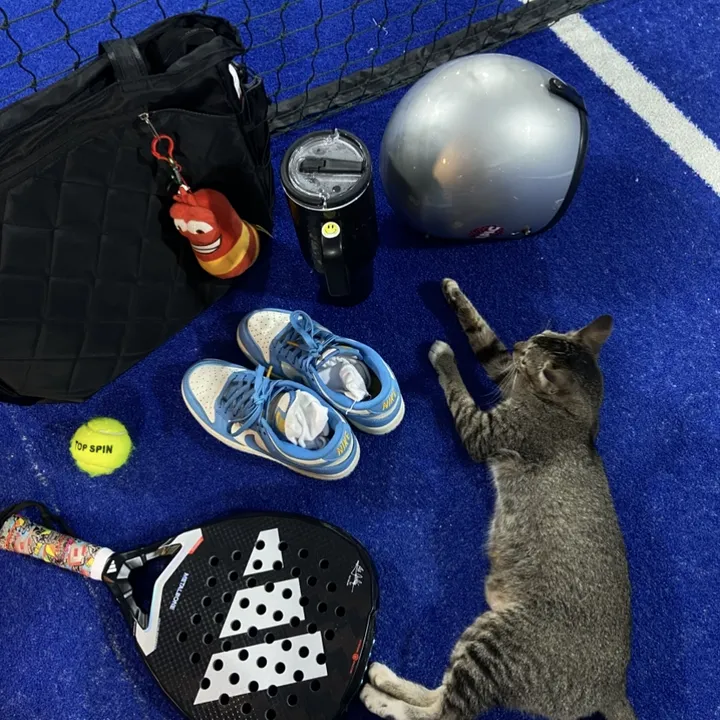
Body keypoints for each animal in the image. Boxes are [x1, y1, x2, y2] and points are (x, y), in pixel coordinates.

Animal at [360, 278, 635, 720]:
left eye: (528, 354)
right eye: (534, 339)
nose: (521, 343)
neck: (578, 418)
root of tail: (613, 688)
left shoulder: (483, 430)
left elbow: (459, 390)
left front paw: (444, 356)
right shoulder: (500, 370)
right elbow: (484, 339)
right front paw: (453, 294)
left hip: (493, 647)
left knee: (444, 712)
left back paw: (379, 695)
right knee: (438, 696)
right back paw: (385, 680)